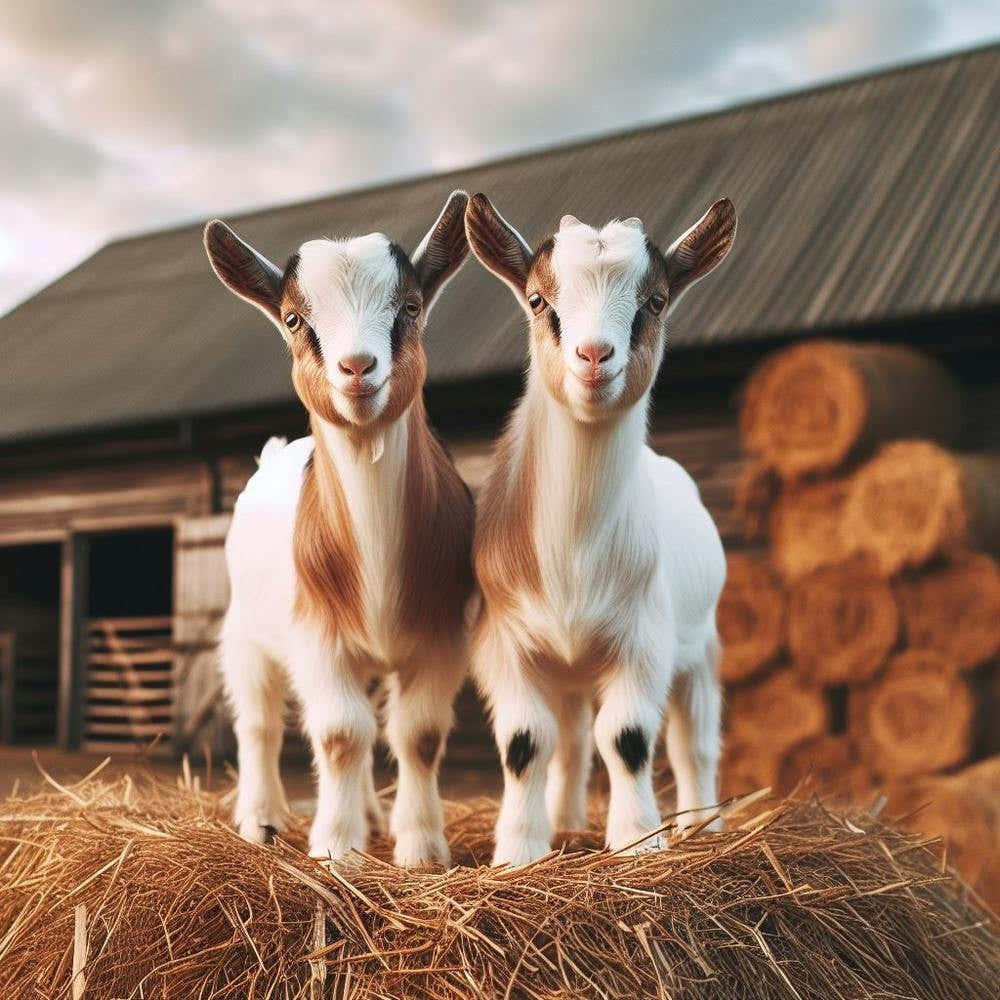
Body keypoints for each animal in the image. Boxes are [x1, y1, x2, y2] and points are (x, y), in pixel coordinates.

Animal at [203, 191, 474, 867]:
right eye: (296, 320)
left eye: (410, 307)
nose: (357, 367)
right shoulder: (317, 635)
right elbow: (340, 734)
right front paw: (335, 848)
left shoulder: (441, 633)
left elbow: (417, 734)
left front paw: (419, 847)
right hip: (245, 631)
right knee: (258, 722)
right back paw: (262, 818)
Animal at [464, 194, 736, 865]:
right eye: (539, 300)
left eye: (656, 301)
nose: (593, 357)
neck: (574, 548)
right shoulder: (504, 641)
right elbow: (525, 742)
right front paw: (520, 849)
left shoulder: (645, 639)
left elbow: (629, 738)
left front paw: (639, 840)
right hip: (568, 671)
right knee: (570, 741)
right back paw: (564, 820)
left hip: (701, 643)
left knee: (695, 743)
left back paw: (705, 827)